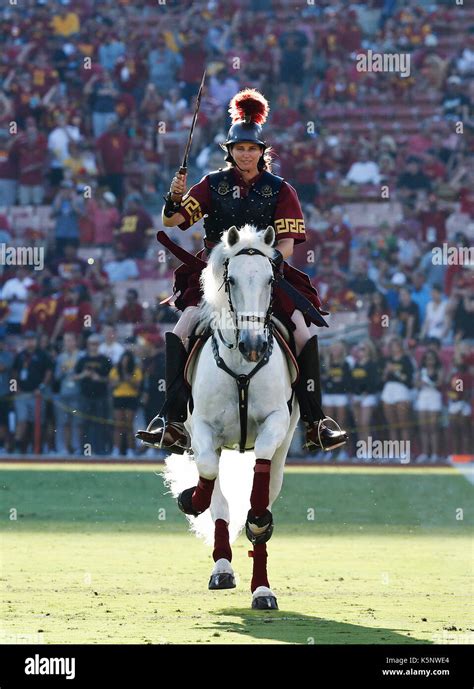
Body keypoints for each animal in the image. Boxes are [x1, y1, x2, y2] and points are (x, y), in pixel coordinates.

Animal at [165, 224, 300, 608]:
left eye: (271, 280)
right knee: (220, 500)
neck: (241, 365)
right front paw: (189, 499)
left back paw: (262, 587)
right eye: (232, 280)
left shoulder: (276, 423)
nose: (254, 346)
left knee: (267, 490)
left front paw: (257, 522)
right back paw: (222, 567)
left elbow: (260, 487)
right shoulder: (203, 431)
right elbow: (209, 482)